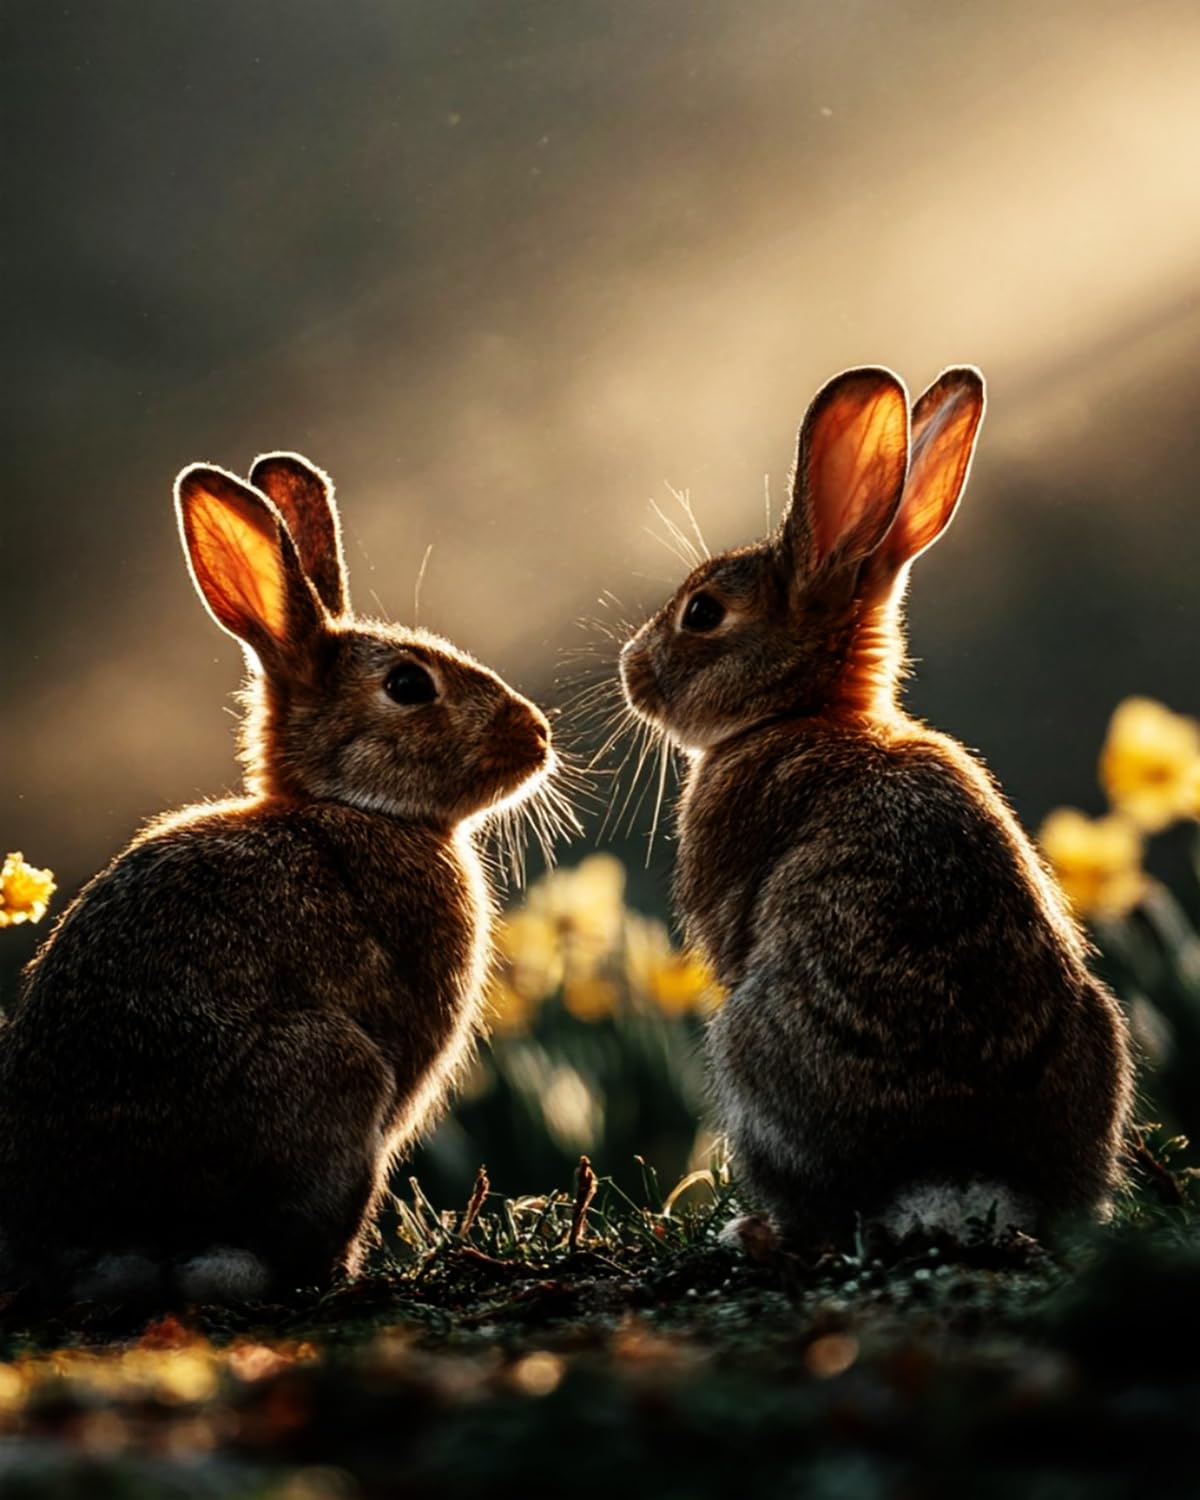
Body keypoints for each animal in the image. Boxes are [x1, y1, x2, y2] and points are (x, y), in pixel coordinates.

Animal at [619, 366, 1134, 1249]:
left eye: (703, 613)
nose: (630, 668)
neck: (801, 712)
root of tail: (954, 1173)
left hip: (742, 1056)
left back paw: (752, 1231)